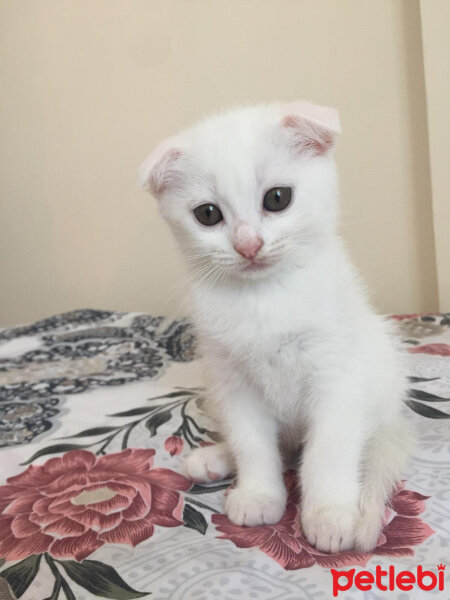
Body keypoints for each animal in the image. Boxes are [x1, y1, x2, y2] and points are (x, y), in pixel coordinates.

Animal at [140, 101, 412, 552]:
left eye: (277, 198)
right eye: (207, 214)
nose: (247, 245)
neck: (263, 299)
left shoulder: (336, 375)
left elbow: (328, 449)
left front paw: (329, 514)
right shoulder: (232, 383)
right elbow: (252, 441)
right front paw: (259, 494)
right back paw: (215, 458)